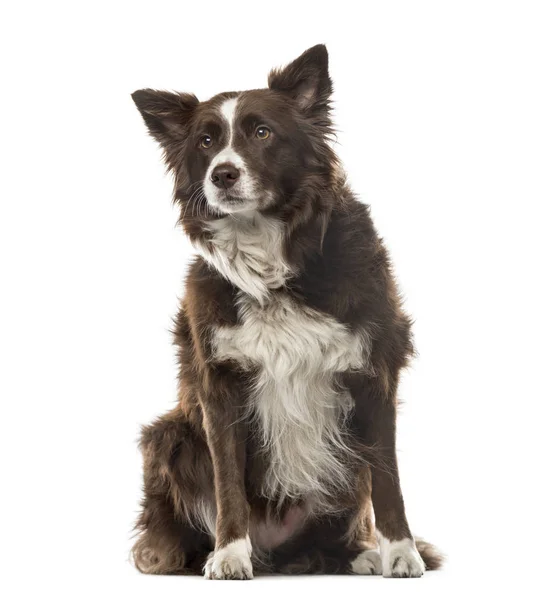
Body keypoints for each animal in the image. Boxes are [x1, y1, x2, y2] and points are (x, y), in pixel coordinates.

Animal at [132, 44, 442, 580]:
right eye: (206, 141)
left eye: (262, 132)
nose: (222, 174)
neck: (274, 261)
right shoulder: (219, 384)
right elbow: (228, 483)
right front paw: (229, 555)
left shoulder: (374, 372)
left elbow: (388, 480)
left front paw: (401, 553)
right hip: (168, 433)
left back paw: (360, 554)